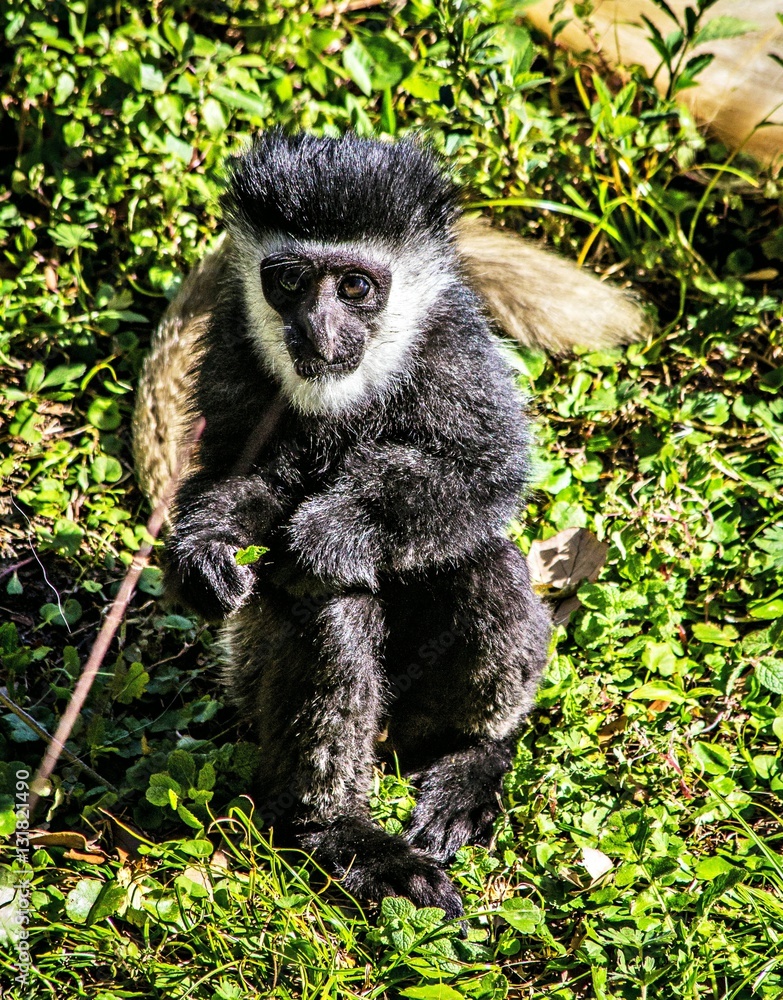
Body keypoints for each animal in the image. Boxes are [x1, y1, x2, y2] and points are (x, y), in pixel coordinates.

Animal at [132, 130, 648, 918]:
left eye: (353, 287)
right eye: (288, 282)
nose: (317, 329)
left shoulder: (454, 347)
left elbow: (486, 469)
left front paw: (335, 532)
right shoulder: (233, 351)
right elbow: (237, 476)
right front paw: (203, 549)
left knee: (485, 572)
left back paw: (467, 758)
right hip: (248, 667)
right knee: (329, 614)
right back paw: (339, 835)